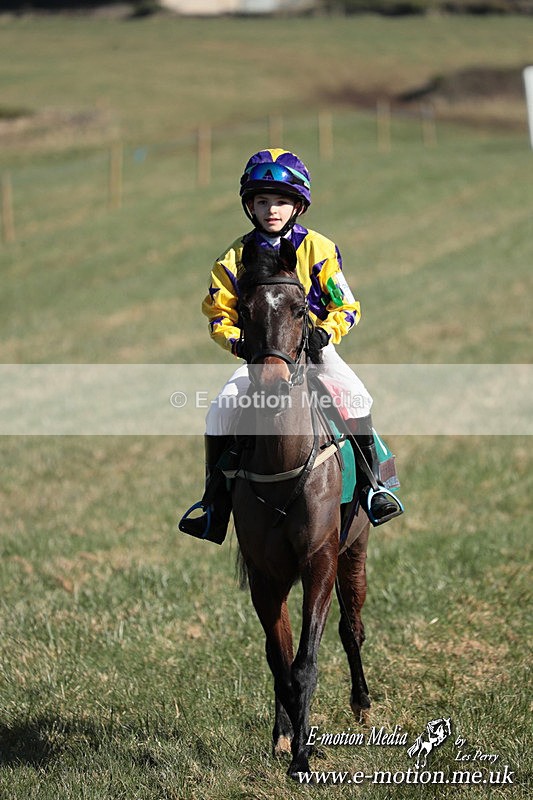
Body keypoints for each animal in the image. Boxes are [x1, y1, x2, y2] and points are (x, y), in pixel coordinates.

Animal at [229, 237, 371, 779]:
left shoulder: (320, 559)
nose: (272, 378)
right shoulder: (265, 574)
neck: (283, 461)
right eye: (245, 310)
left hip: (356, 550)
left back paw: (362, 705)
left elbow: (306, 661)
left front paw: (305, 759)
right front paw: (290, 741)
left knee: (352, 631)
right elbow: (280, 660)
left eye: (297, 308)